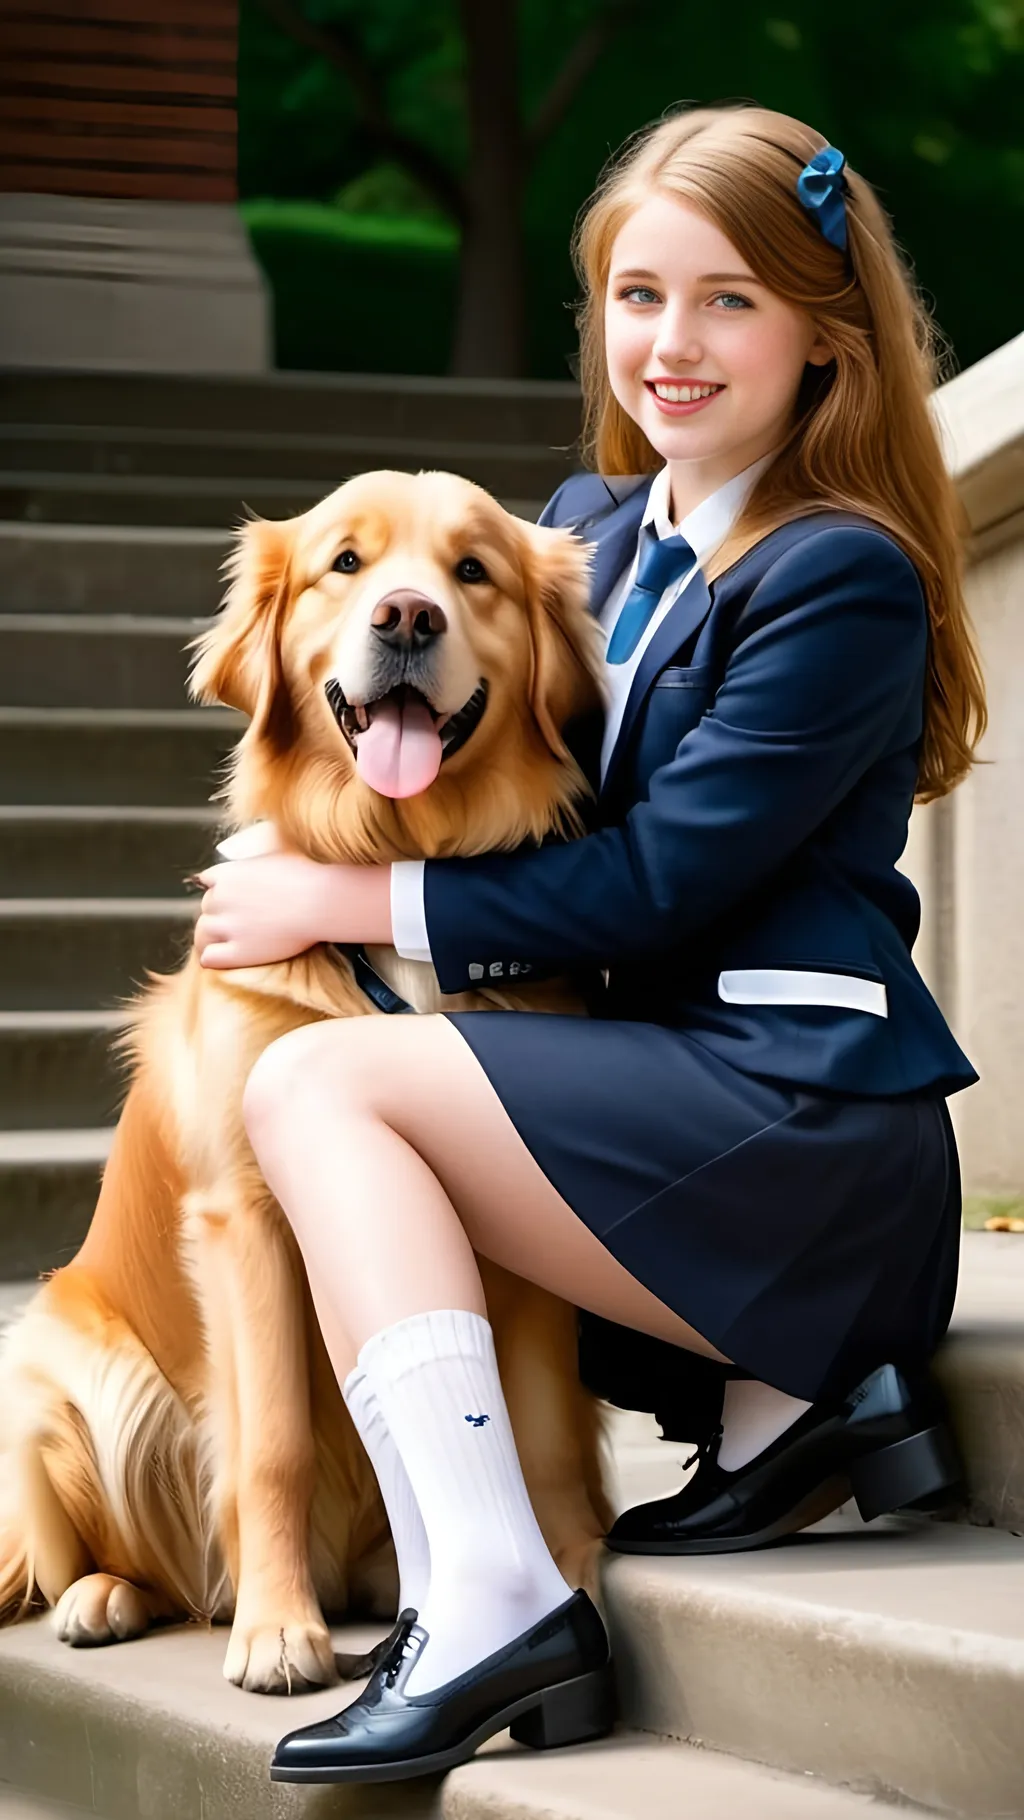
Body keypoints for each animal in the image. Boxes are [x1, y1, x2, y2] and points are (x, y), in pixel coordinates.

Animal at [0, 465, 618, 1688]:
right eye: (346, 563)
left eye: (471, 570)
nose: (408, 617)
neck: (391, 857)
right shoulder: (246, 1214)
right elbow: (274, 1441)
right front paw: (277, 1626)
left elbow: (541, 1424)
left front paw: (568, 1563)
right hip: (56, 1370)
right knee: (106, 1554)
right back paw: (113, 1594)